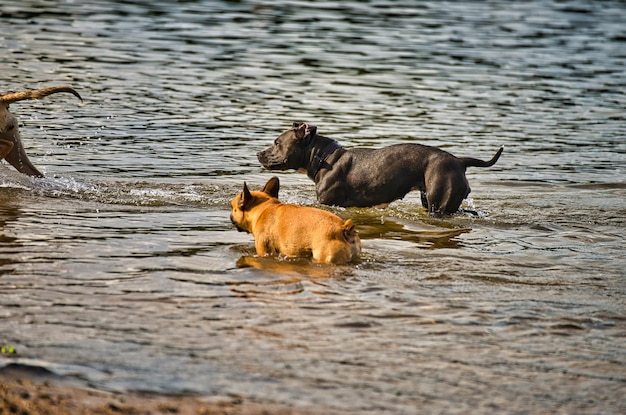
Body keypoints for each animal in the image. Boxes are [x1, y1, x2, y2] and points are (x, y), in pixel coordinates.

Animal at [255, 122, 502, 216]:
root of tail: (459, 160)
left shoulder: (327, 202)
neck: (323, 157)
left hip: (439, 202)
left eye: (277, 142)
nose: (258, 153)